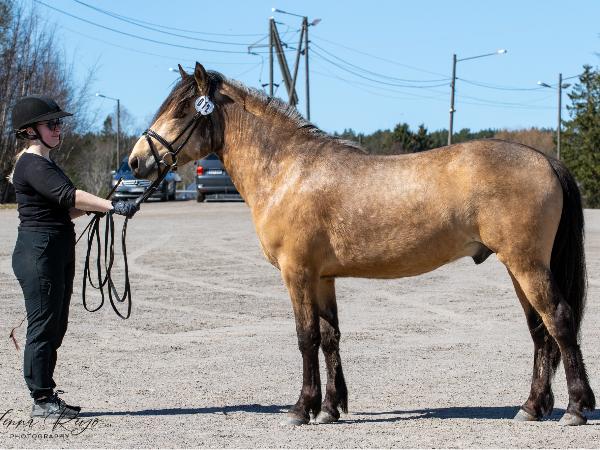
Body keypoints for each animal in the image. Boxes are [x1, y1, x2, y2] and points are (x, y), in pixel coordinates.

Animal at [129, 62, 595, 426]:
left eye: (182, 110)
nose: (135, 161)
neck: (288, 171)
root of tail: (544, 159)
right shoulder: (322, 277)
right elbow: (330, 336)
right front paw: (330, 408)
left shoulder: (297, 273)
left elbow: (305, 337)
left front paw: (301, 408)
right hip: (518, 266)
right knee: (539, 332)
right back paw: (532, 407)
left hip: (527, 264)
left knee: (558, 320)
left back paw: (574, 408)